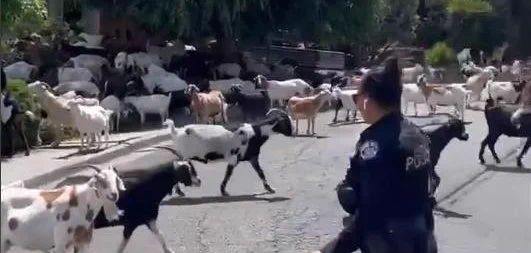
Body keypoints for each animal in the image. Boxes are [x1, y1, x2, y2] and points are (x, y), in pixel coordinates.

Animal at [55, 148, 202, 253]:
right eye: (186, 170)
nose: (199, 181)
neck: (146, 188)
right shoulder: (131, 223)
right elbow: (122, 246)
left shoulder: (148, 219)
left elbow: (160, 235)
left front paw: (169, 250)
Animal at [164, 108, 294, 196]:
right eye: (286, 121)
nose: (292, 132)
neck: (256, 132)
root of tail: (176, 131)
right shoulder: (234, 158)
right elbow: (228, 175)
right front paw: (224, 191)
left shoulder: (252, 157)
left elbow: (260, 172)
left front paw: (270, 188)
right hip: (184, 155)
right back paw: (179, 191)